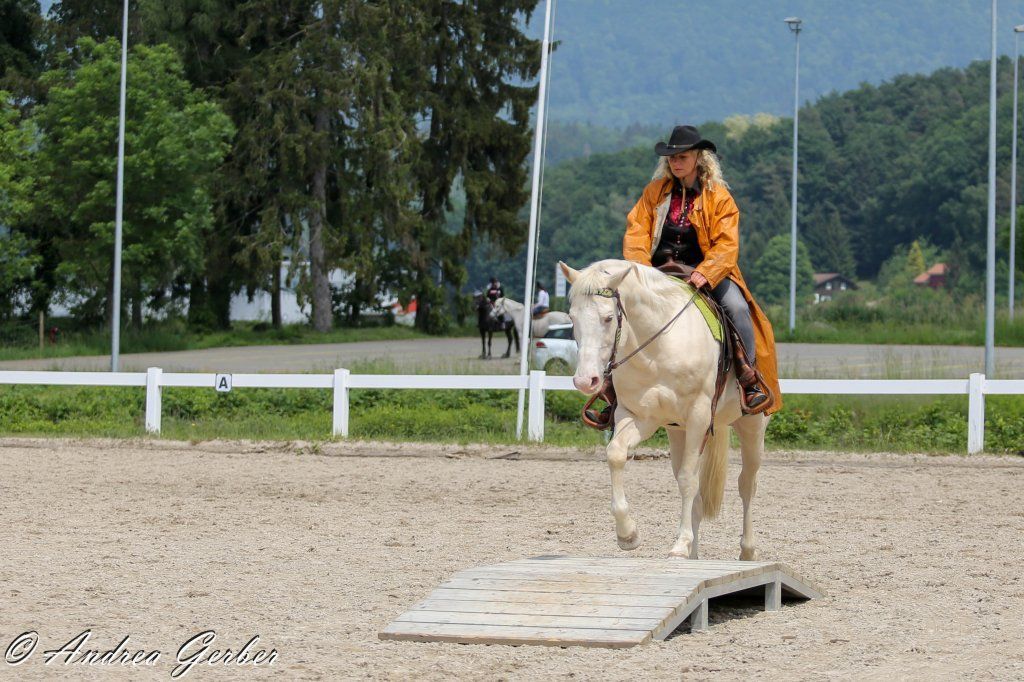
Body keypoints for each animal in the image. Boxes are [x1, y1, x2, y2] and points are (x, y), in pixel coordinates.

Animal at [559, 259, 770, 561]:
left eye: (608, 318)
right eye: (572, 318)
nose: (585, 381)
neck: (658, 347)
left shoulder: (698, 418)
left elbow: (688, 480)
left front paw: (680, 544)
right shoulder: (637, 416)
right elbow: (616, 454)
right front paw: (628, 535)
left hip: (752, 426)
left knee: (746, 485)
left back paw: (747, 551)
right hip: (677, 432)